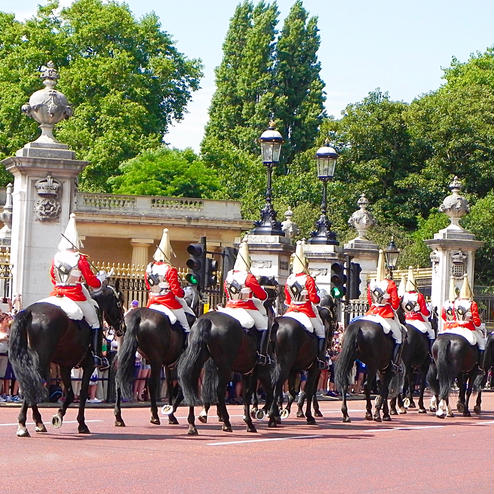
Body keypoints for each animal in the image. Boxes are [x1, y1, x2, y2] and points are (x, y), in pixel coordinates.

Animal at [7, 286, 124, 436]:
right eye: (119, 303)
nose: (123, 328)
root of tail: (30, 311)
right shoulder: (89, 365)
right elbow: (82, 393)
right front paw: (81, 424)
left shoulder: (65, 366)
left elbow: (70, 394)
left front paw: (59, 416)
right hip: (42, 362)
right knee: (32, 385)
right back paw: (24, 424)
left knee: (30, 384)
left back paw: (37, 422)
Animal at [268, 298, 338, 428]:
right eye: (333, 320)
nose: (330, 342)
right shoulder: (315, 369)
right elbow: (308, 391)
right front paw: (310, 415)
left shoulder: (294, 370)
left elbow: (293, 391)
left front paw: (287, 409)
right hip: (283, 366)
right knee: (277, 386)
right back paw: (272, 417)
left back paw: (274, 415)